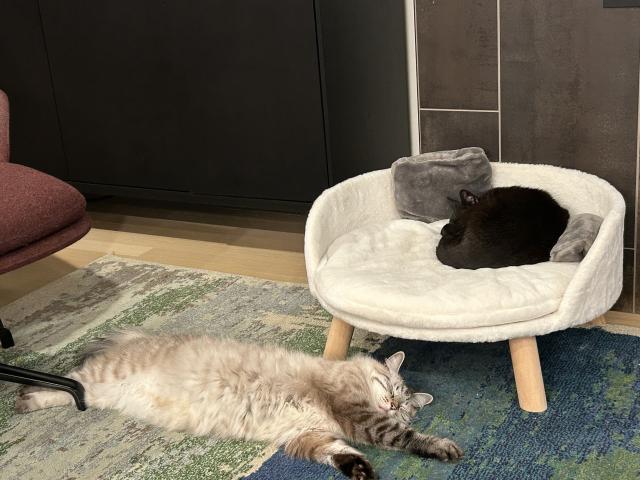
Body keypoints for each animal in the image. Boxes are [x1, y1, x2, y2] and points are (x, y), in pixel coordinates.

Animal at [15, 332, 462, 478]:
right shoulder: (356, 414)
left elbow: (338, 454)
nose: (392, 403)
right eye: (389, 386)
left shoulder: (306, 435)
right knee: (69, 379)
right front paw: (443, 448)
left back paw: (28, 400)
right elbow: (406, 439)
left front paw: (360, 471)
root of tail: (134, 336)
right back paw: (23, 397)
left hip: (101, 393)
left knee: (74, 391)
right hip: (101, 376)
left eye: (405, 403)